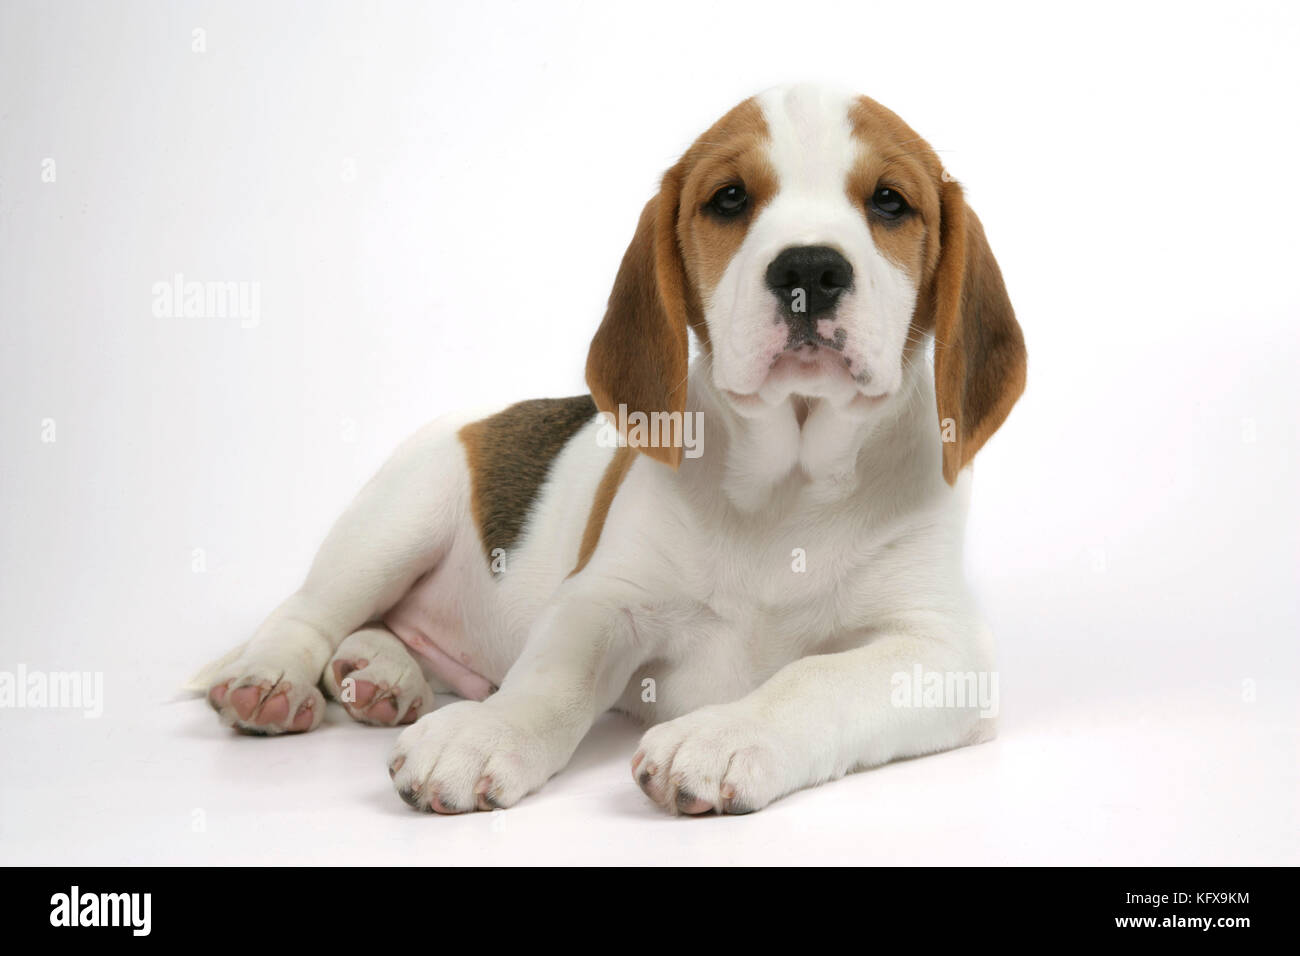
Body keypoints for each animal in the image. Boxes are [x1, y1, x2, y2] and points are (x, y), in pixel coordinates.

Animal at [192, 83, 1024, 816]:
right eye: (729, 199)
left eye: (890, 202)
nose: (810, 271)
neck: (790, 479)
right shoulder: (604, 597)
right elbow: (551, 678)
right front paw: (484, 736)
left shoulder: (945, 649)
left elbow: (815, 679)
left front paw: (724, 737)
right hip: (397, 517)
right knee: (308, 611)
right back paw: (275, 679)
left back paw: (381, 672)